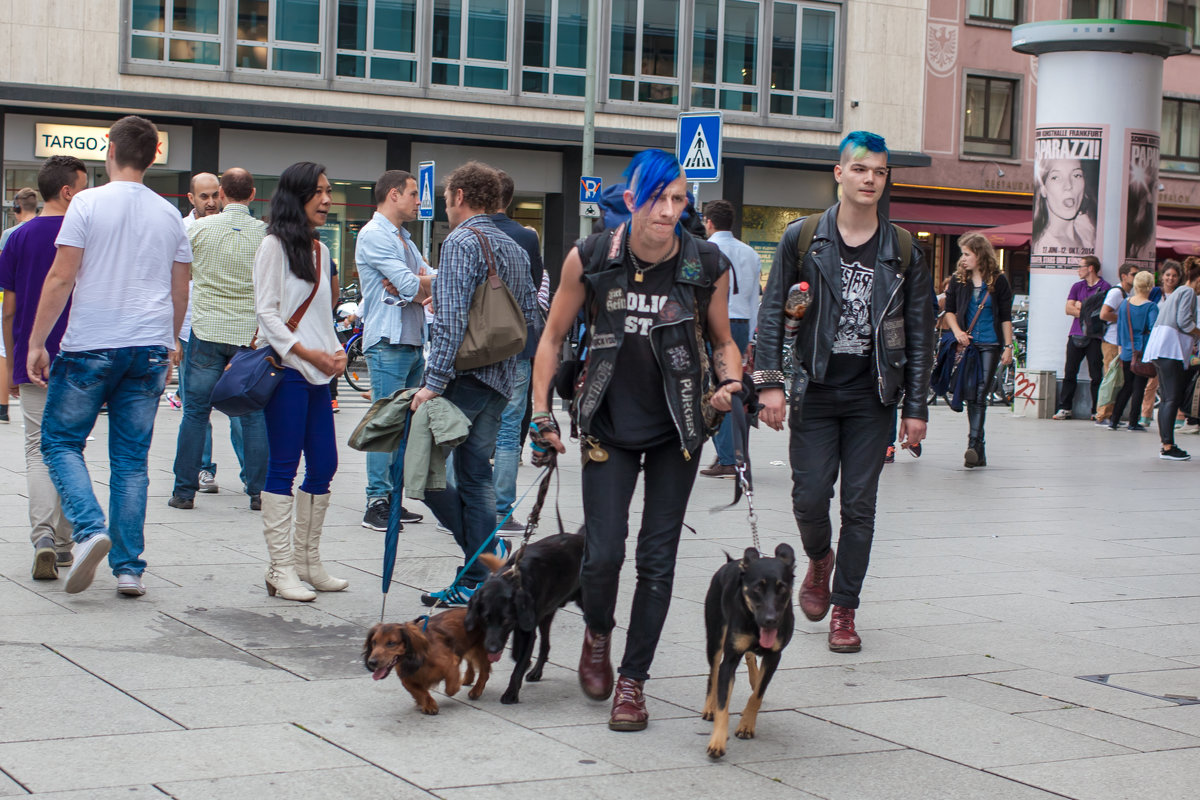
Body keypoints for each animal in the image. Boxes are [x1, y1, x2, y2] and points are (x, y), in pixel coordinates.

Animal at [360, 609, 492, 714]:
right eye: (374, 642)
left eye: (391, 643)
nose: (372, 662)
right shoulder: (407, 678)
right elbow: (420, 692)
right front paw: (428, 705)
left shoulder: (450, 663)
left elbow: (450, 689)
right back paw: (468, 678)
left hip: (482, 649)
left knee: (485, 671)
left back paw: (476, 690)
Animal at [463, 534, 585, 705]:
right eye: (485, 619)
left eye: (506, 621)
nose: (492, 649)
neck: (510, 578)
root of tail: (580, 537)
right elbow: (517, 654)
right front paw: (524, 662)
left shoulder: (526, 631)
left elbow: (518, 665)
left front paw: (511, 693)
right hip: (546, 615)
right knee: (545, 645)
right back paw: (536, 672)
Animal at [700, 542, 792, 762]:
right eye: (758, 587)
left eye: (782, 588)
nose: (770, 620)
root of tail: (732, 562)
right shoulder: (729, 660)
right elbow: (723, 704)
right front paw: (717, 743)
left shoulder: (774, 656)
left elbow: (757, 694)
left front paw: (746, 726)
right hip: (715, 635)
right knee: (713, 671)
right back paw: (709, 707)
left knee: (750, 657)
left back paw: (754, 676)